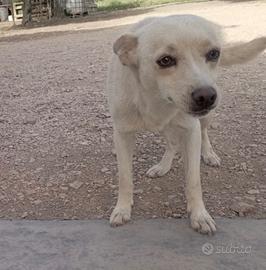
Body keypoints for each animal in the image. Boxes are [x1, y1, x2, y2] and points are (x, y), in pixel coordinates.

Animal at [106, 14, 266, 234]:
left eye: (213, 54)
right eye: (165, 60)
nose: (207, 96)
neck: (156, 101)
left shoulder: (191, 131)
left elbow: (193, 180)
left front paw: (199, 215)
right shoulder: (122, 134)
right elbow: (124, 178)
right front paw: (122, 209)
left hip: (204, 118)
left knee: (203, 133)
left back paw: (209, 154)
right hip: (168, 127)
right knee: (172, 143)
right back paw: (162, 166)